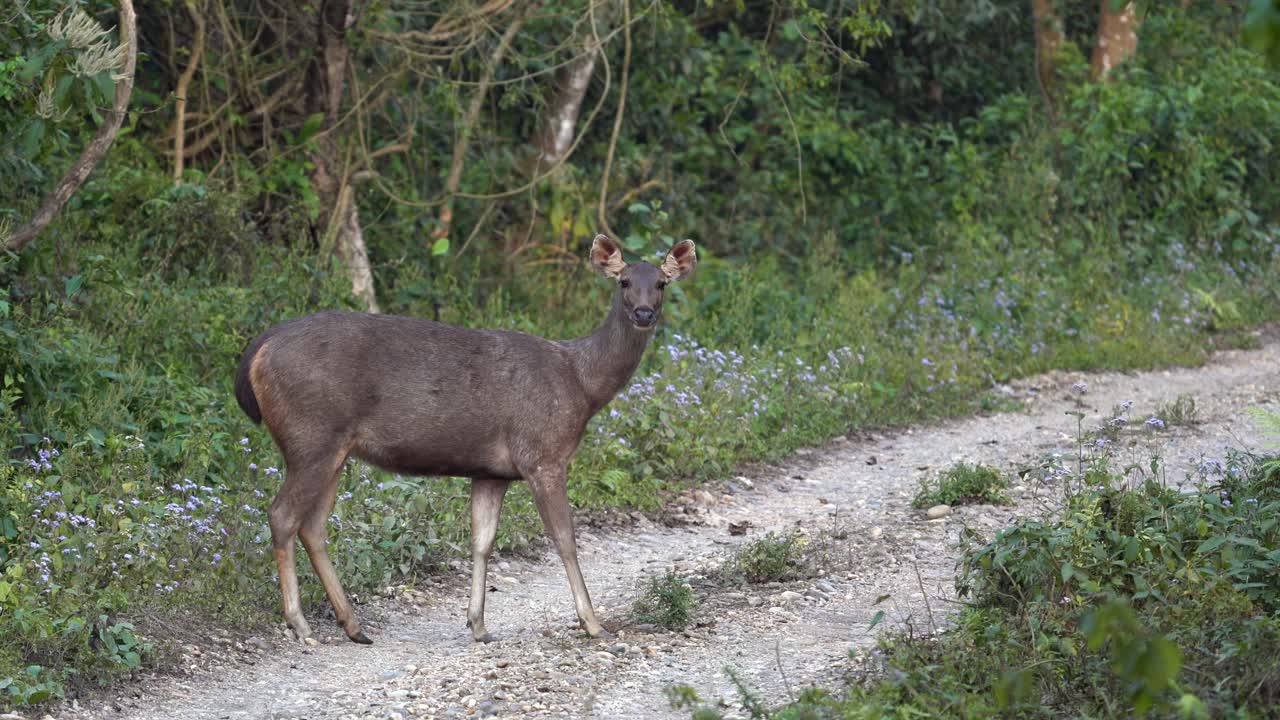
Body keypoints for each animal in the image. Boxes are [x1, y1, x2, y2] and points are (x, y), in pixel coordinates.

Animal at [234, 234, 696, 645]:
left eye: (661, 283)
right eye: (623, 281)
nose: (643, 313)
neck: (583, 386)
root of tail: (257, 351)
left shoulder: (492, 472)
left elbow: (481, 542)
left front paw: (478, 625)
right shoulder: (542, 454)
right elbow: (565, 539)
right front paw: (594, 624)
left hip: (334, 448)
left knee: (312, 526)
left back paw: (353, 626)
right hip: (311, 436)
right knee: (282, 515)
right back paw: (301, 624)